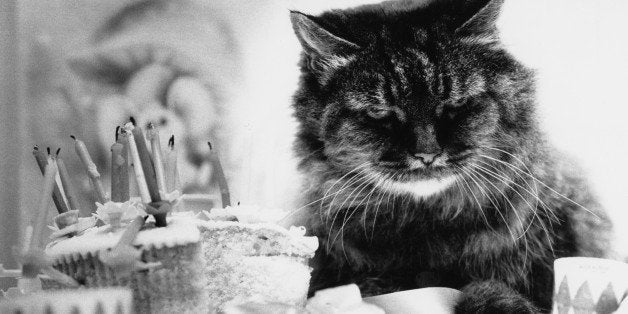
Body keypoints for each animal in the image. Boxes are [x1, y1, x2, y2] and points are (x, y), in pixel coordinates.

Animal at [290, 0, 612, 312]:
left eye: (455, 105)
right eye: (381, 114)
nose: (427, 154)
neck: (429, 227)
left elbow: (491, 290)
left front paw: (496, 301)